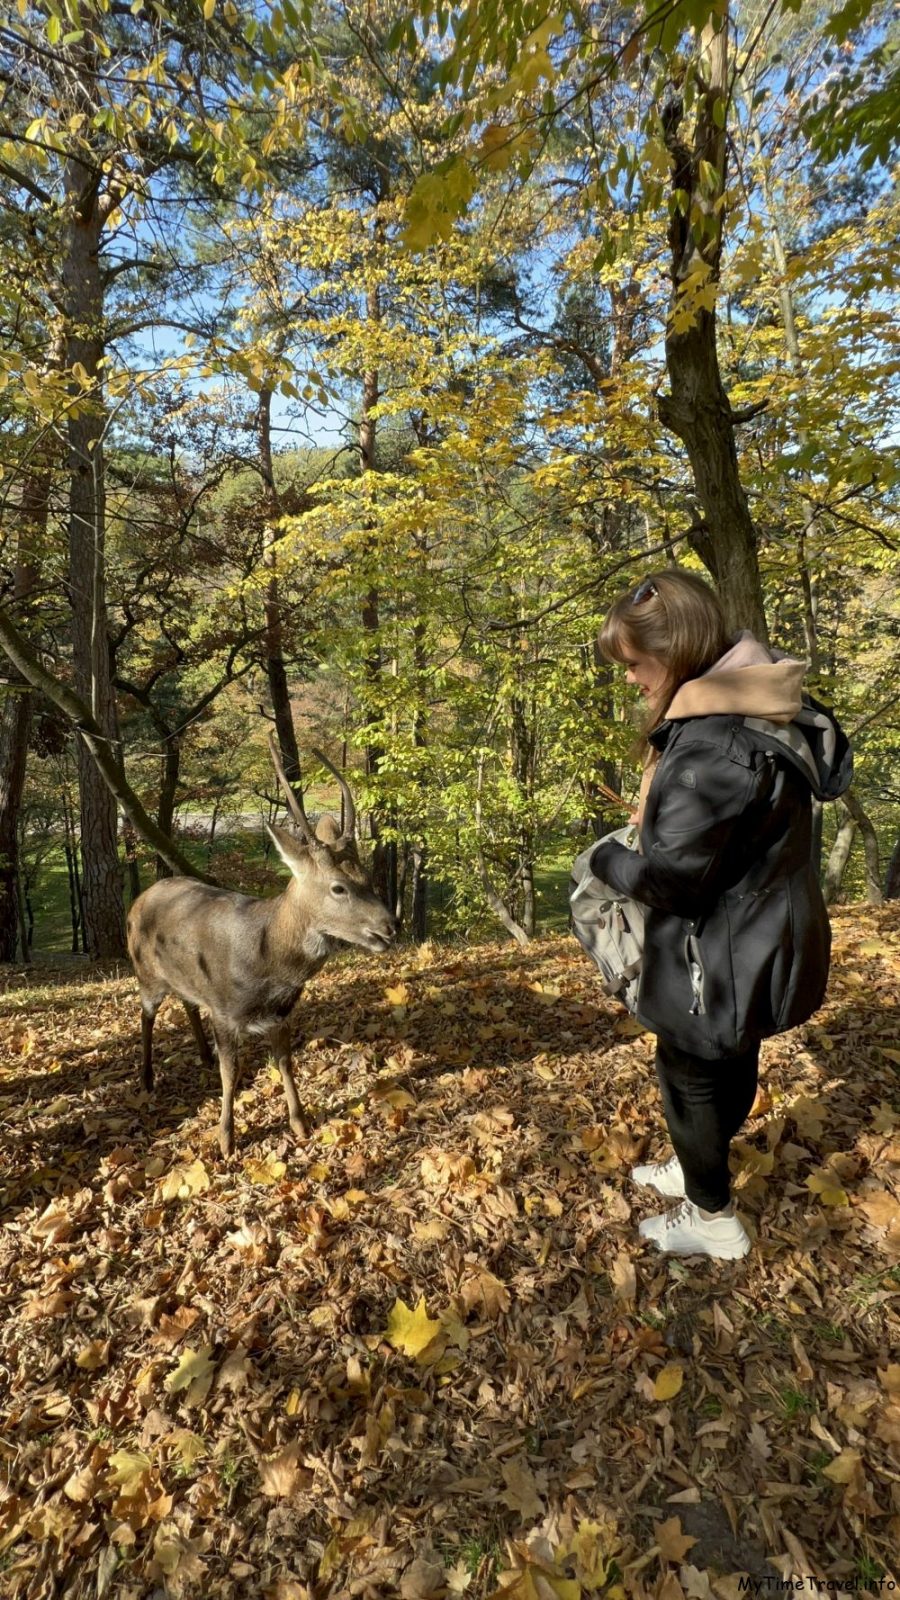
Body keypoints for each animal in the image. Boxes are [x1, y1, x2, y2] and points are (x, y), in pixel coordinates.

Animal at [126, 732, 395, 1158]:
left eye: (367, 876)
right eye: (338, 887)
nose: (389, 927)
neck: (264, 961)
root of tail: (137, 900)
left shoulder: (280, 1014)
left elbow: (285, 1062)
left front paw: (300, 1124)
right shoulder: (224, 1009)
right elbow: (231, 1074)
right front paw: (225, 1140)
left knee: (187, 1003)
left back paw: (201, 1055)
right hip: (144, 972)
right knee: (146, 1015)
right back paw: (148, 1078)